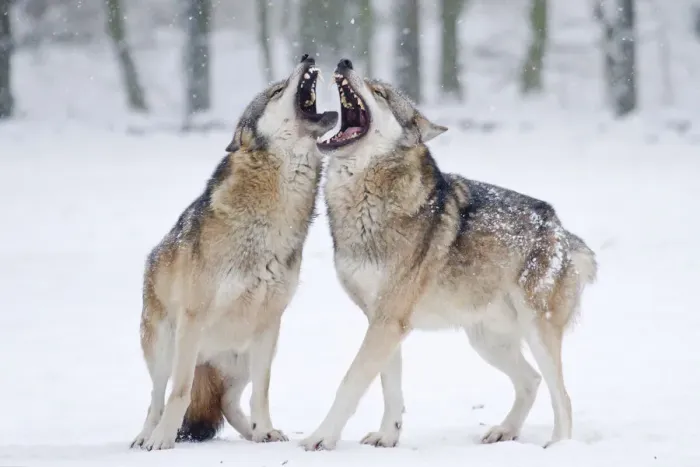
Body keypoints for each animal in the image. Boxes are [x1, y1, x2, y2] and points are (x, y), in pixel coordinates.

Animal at [130, 55, 338, 451]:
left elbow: (263, 393)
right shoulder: (192, 320)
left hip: (240, 358)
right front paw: (163, 440)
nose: (306, 56)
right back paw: (146, 437)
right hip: (164, 346)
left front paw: (266, 430)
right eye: (276, 90)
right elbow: (178, 394)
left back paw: (255, 433)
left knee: (227, 402)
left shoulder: (269, 324)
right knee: (156, 397)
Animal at [299, 59, 597, 451]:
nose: (345, 62)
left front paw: (321, 438)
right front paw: (387, 436)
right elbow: (389, 386)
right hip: (485, 341)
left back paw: (559, 446)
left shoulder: (388, 320)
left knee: (561, 395)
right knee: (531, 382)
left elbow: (351, 382)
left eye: (380, 92)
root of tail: (561, 229)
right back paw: (504, 431)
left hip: (536, 332)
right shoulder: (382, 321)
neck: (364, 201)